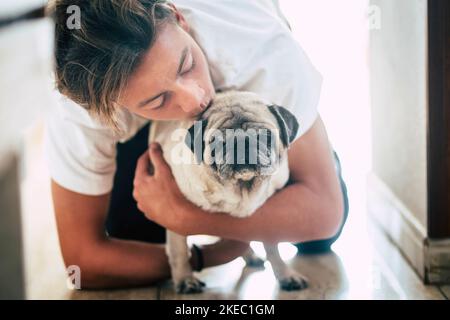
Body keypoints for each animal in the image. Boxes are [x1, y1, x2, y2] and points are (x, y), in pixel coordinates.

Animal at [149, 91, 308, 294]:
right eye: (216, 141)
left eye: (265, 136)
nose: (242, 143)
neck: (241, 189)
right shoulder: (174, 217)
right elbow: (179, 252)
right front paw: (185, 279)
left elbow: (273, 247)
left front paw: (285, 274)